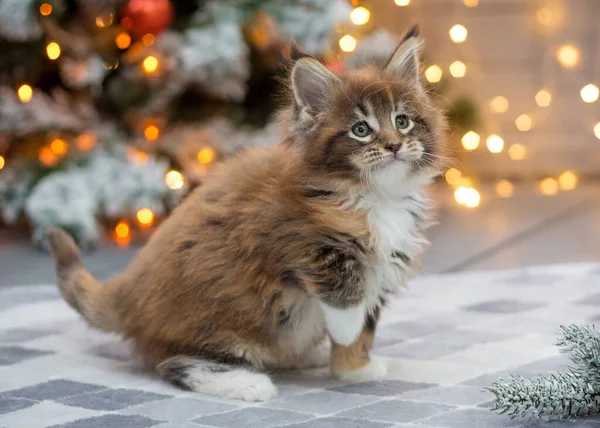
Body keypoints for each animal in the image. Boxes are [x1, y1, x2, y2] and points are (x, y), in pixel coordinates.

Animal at [48, 25, 446, 402]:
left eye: (403, 121)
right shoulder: (293, 240)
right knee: (174, 363)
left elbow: (368, 324)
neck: (374, 196)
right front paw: (345, 333)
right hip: (219, 319)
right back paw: (248, 382)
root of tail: (128, 293)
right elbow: (346, 298)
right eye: (361, 130)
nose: (394, 146)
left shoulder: (386, 266)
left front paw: (354, 368)